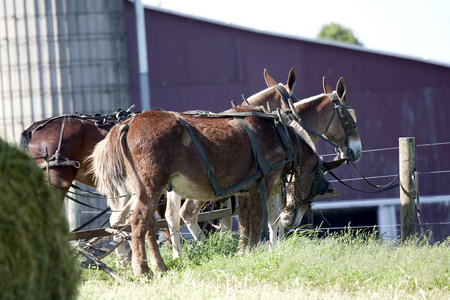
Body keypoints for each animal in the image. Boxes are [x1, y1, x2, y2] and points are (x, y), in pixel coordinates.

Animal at [90, 104, 344, 278]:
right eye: (318, 180)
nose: (295, 218)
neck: (276, 132)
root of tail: (128, 124)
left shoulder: (245, 189)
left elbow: (245, 222)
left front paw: (243, 252)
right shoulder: (265, 181)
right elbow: (258, 219)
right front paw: (254, 251)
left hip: (148, 192)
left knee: (149, 225)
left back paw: (160, 266)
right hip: (150, 189)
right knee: (139, 223)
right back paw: (143, 269)